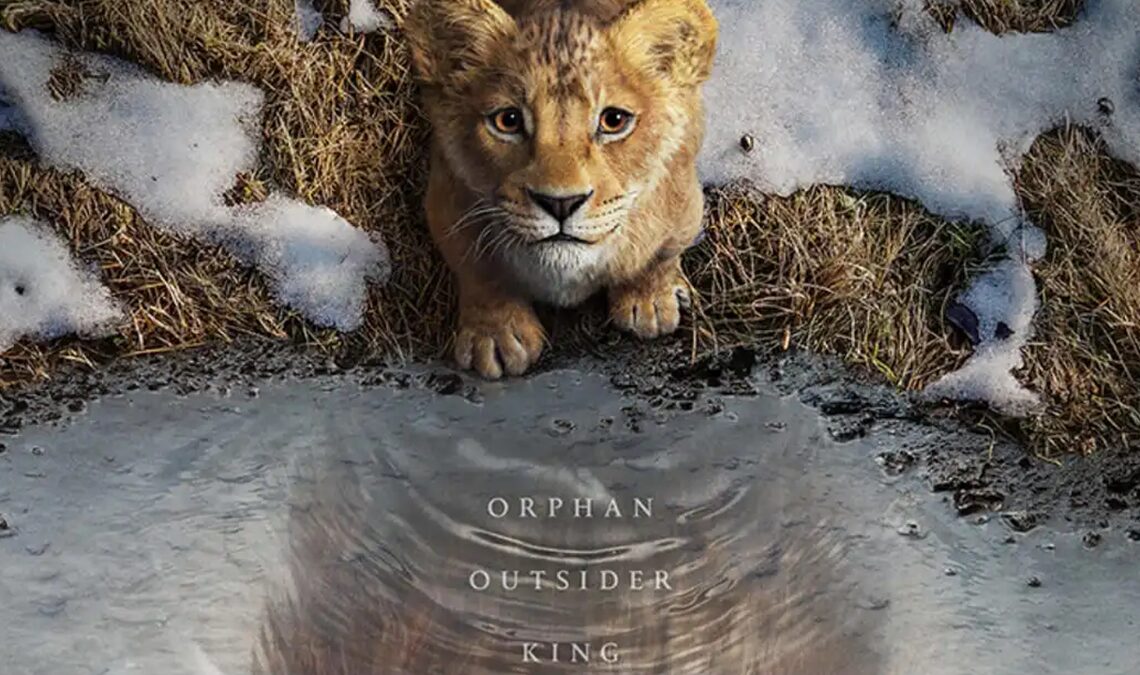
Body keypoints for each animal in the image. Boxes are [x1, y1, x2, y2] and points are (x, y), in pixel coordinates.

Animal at [405, 0, 719, 379]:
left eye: (614, 120)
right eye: (507, 120)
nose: (560, 203)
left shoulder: (684, 203)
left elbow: (659, 255)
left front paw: (650, 303)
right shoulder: (447, 201)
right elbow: (479, 271)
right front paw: (495, 337)